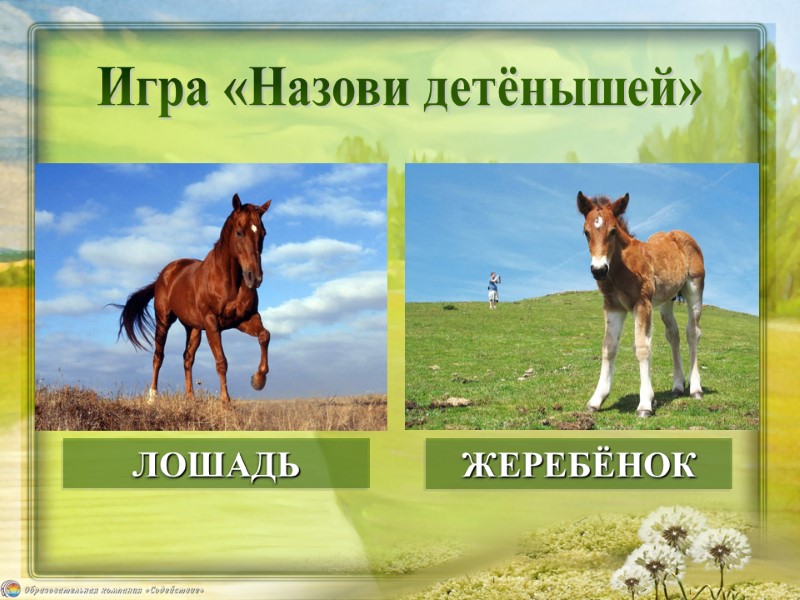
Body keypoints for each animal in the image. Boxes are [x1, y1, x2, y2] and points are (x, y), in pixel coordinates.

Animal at [115, 193, 272, 405]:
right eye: (239, 232)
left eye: (263, 233)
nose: (254, 277)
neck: (229, 280)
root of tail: (162, 276)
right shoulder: (212, 322)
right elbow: (221, 361)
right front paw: (226, 402)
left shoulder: (244, 319)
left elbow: (265, 336)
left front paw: (258, 380)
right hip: (163, 320)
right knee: (158, 356)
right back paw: (152, 397)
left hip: (193, 328)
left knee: (187, 358)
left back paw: (190, 397)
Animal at [577, 191, 705, 417]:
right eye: (586, 232)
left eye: (613, 231)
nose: (599, 270)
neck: (621, 268)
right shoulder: (613, 307)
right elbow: (608, 347)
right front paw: (596, 399)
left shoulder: (642, 303)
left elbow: (643, 348)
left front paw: (645, 403)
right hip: (666, 301)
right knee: (673, 334)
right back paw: (678, 386)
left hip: (695, 289)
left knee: (692, 332)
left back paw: (695, 389)